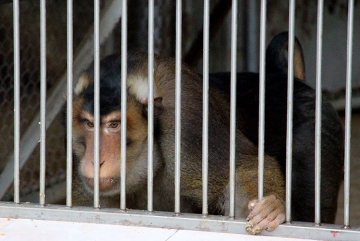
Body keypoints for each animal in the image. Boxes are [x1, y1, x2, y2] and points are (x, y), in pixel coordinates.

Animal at [68, 33, 344, 234]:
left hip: (318, 130)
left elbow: (244, 166)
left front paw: (273, 206)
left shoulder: (188, 127)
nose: (95, 160)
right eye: (90, 124)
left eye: (114, 125)